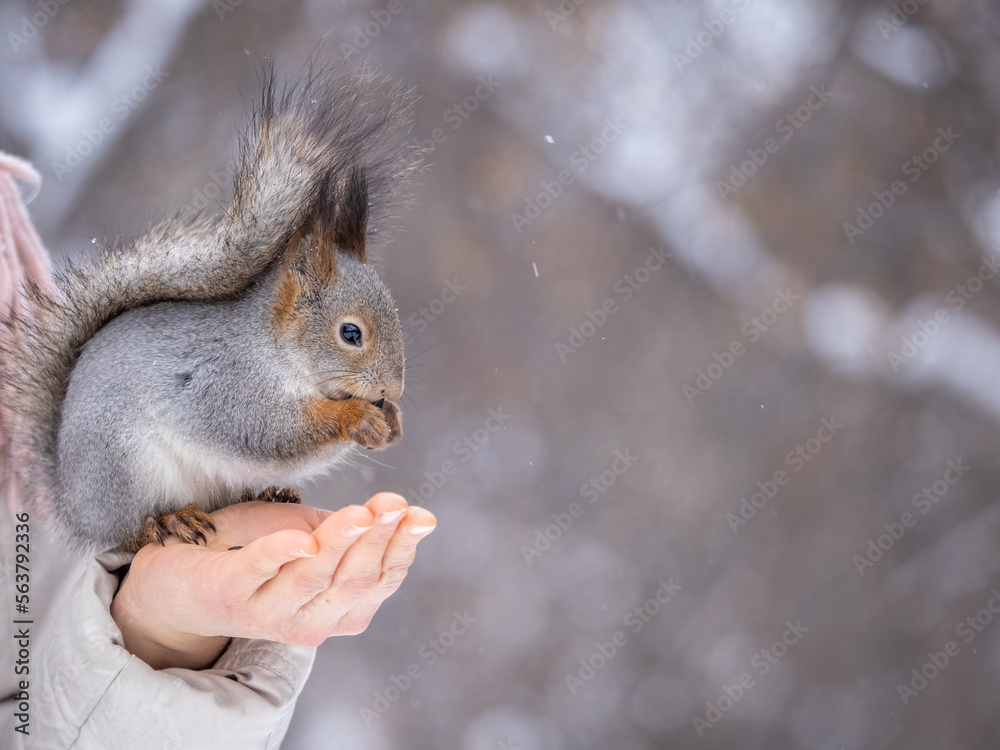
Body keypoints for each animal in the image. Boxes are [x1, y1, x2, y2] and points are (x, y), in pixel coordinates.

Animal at [0, 64, 416, 554]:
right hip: (123, 466)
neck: (276, 351)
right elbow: (273, 432)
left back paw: (271, 494)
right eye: (350, 333)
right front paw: (358, 418)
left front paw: (393, 422)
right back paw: (167, 522)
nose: (392, 389)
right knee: (129, 533)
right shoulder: (228, 387)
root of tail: (72, 504)